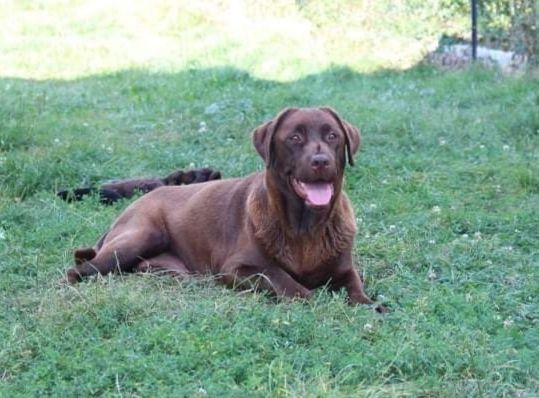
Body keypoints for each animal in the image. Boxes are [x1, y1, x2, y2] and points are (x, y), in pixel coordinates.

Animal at [63, 108, 382, 310]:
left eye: (332, 136)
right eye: (295, 137)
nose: (320, 161)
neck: (306, 226)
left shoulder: (343, 268)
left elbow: (355, 286)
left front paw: (369, 306)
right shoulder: (237, 268)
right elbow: (283, 279)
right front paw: (313, 299)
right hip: (141, 235)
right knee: (76, 270)